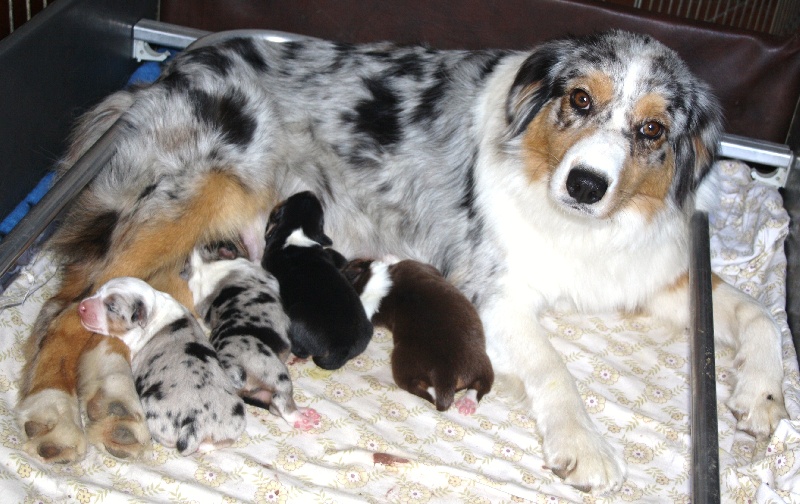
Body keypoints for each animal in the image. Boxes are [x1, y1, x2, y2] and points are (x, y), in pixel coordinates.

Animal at [188, 246, 322, 432]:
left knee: (273, 406)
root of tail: (229, 365)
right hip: (276, 373)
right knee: (281, 401)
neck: (206, 268)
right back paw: (300, 418)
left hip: (259, 390)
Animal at [262, 190, 376, 370]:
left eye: (289, 199)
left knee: (302, 351)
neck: (298, 230)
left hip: (295, 316)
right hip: (368, 328)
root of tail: (342, 348)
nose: (308, 192)